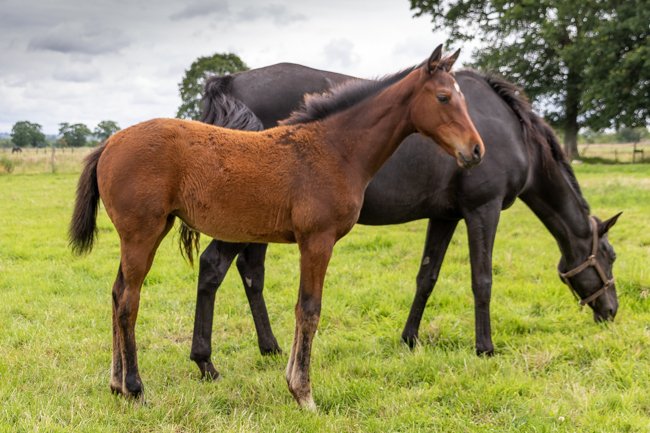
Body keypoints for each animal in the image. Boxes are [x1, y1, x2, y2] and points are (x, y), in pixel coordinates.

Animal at [69, 44, 480, 408]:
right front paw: (303, 393)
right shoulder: (317, 240)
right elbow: (309, 310)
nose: (476, 150)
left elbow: (301, 308)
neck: (333, 149)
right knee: (128, 301)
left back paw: (116, 385)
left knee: (116, 293)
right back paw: (135, 388)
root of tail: (108, 144)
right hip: (142, 234)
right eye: (444, 97)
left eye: (462, 98)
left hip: (145, 235)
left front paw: (293, 382)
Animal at [190, 60, 620, 378]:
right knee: (214, 266)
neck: (513, 132)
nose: (612, 311)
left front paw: (409, 339)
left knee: (250, 273)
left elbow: (427, 277)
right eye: (610, 257)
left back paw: (270, 348)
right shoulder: (483, 209)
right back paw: (207, 362)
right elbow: (482, 280)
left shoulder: (445, 217)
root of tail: (230, 81)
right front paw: (485, 348)